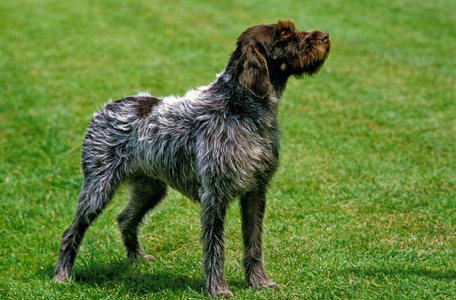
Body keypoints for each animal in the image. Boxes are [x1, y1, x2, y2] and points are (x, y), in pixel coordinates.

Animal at [52, 19, 332, 296]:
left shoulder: (256, 191)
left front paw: (259, 282)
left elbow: (254, 242)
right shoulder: (214, 195)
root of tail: (105, 108)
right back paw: (61, 275)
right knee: (71, 231)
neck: (242, 110)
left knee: (125, 219)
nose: (325, 36)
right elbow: (215, 247)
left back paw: (137, 259)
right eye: (284, 34)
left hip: (150, 190)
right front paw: (218, 289)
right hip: (98, 189)